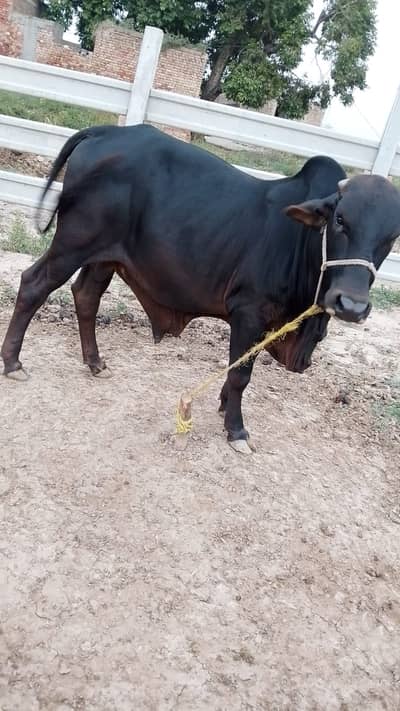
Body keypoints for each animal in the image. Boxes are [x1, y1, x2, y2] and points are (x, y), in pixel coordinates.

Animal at [1, 124, 399, 453]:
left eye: (391, 238)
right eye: (340, 219)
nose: (351, 305)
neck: (300, 241)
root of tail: (106, 131)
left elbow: (238, 365)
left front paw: (224, 406)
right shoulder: (249, 310)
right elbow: (241, 373)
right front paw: (236, 430)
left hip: (103, 258)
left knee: (86, 296)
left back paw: (96, 363)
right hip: (72, 244)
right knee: (33, 285)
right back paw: (13, 362)